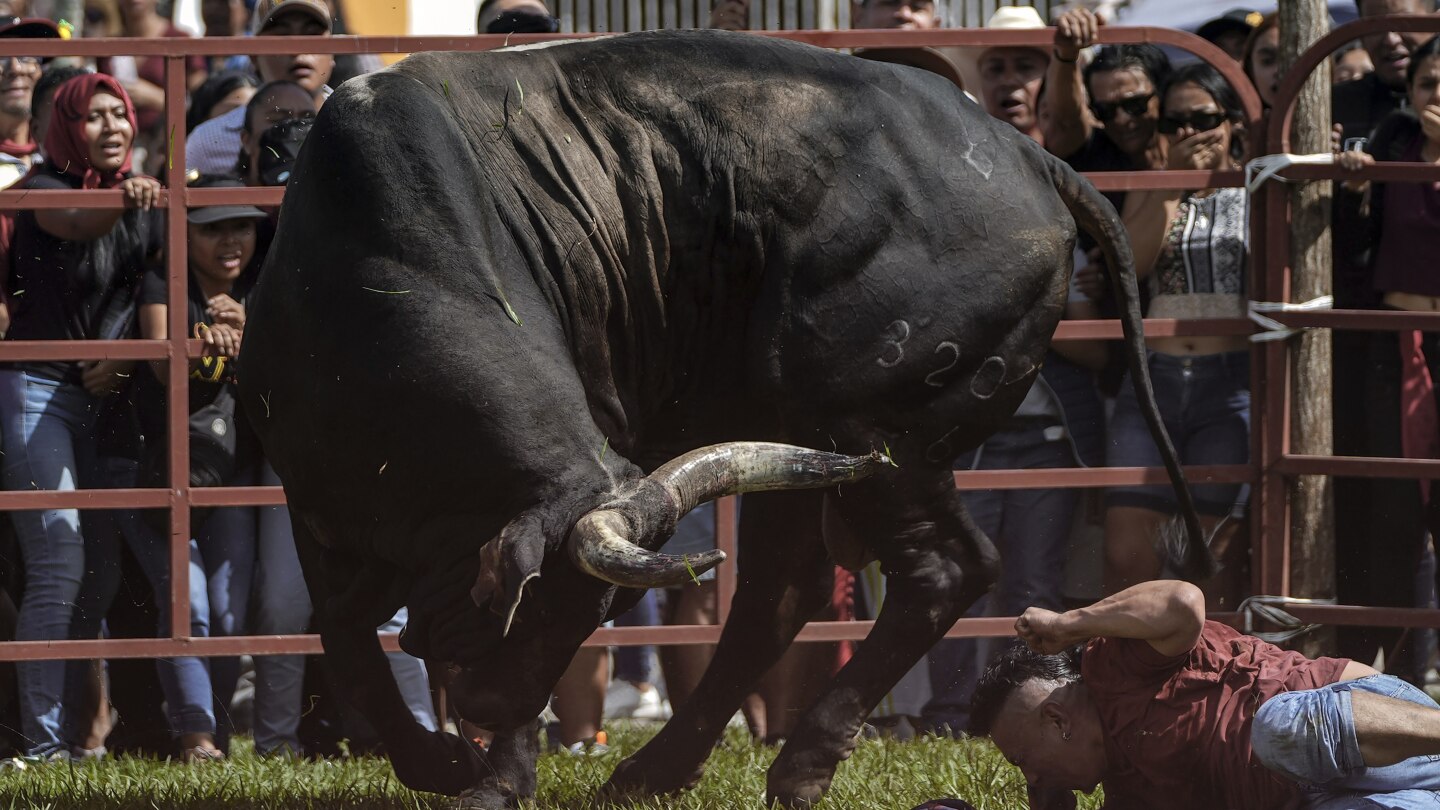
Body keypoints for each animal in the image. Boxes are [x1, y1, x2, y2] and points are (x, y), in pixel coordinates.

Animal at [241, 28, 1209, 801]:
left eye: (585, 614)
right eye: (549, 608)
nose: (486, 705)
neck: (380, 260)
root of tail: (1030, 154)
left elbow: (356, 640)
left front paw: (477, 774)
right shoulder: (309, 494)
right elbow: (344, 636)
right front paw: (455, 765)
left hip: (883, 438)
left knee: (941, 569)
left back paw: (798, 766)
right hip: (800, 442)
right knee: (781, 594)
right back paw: (653, 770)